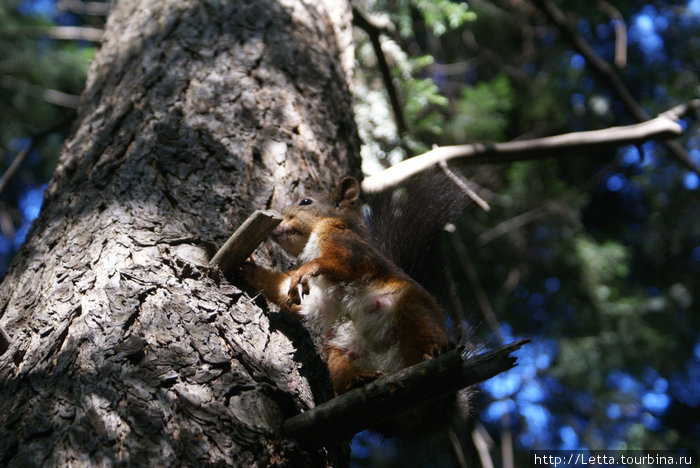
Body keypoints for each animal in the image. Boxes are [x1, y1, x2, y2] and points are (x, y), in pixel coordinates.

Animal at [243, 176, 462, 394]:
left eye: (305, 201)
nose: (277, 224)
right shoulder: (316, 295)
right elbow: (281, 287)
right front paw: (249, 268)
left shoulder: (344, 243)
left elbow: (342, 263)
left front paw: (308, 268)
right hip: (339, 351)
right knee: (343, 370)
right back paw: (358, 379)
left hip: (413, 309)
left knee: (421, 329)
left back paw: (437, 350)